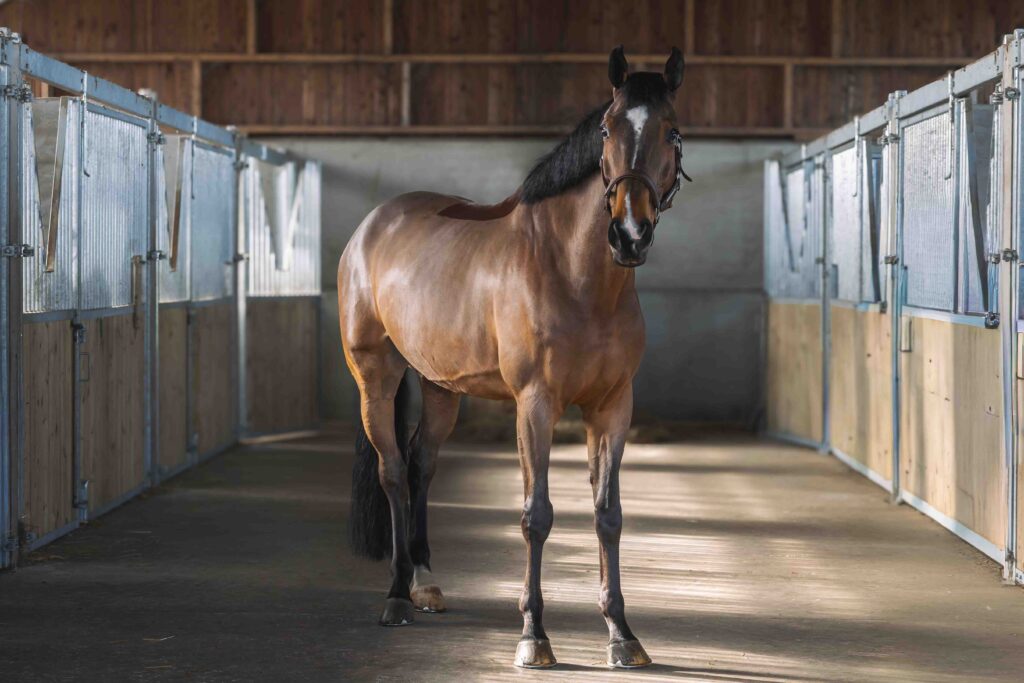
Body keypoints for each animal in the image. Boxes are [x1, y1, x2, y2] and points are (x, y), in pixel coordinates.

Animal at [339, 45, 689, 669]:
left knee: (422, 464)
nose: (628, 234)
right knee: (394, 472)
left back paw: (426, 584)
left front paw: (623, 635)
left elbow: (609, 516)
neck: (572, 271)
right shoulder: (536, 405)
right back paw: (398, 596)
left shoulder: (612, 408)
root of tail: (371, 227)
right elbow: (536, 515)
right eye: (606, 129)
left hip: (440, 387)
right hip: (375, 379)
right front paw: (534, 635)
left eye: (671, 132)